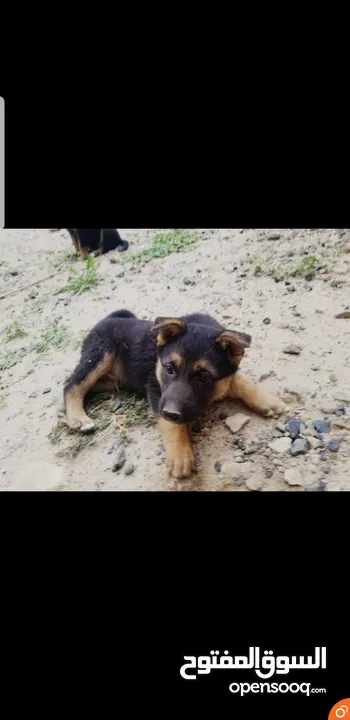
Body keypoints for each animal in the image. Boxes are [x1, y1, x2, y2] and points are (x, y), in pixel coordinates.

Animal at [60, 310, 284, 478]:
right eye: (169, 369)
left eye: (203, 376)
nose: (171, 412)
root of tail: (108, 319)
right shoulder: (155, 386)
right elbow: (173, 426)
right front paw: (180, 456)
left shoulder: (227, 372)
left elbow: (240, 380)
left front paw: (267, 400)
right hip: (101, 353)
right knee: (72, 384)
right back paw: (77, 418)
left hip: (110, 380)